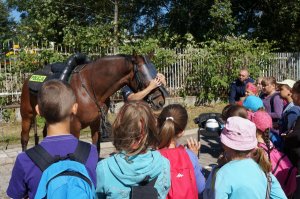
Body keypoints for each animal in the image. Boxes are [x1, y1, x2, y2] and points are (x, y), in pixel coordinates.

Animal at [19, 54, 166, 152]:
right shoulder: (75, 126)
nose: (160, 101)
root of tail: (29, 78)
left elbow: (96, 147)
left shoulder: (95, 123)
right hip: (27, 115)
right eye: (143, 74)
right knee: (24, 138)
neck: (89, 87)